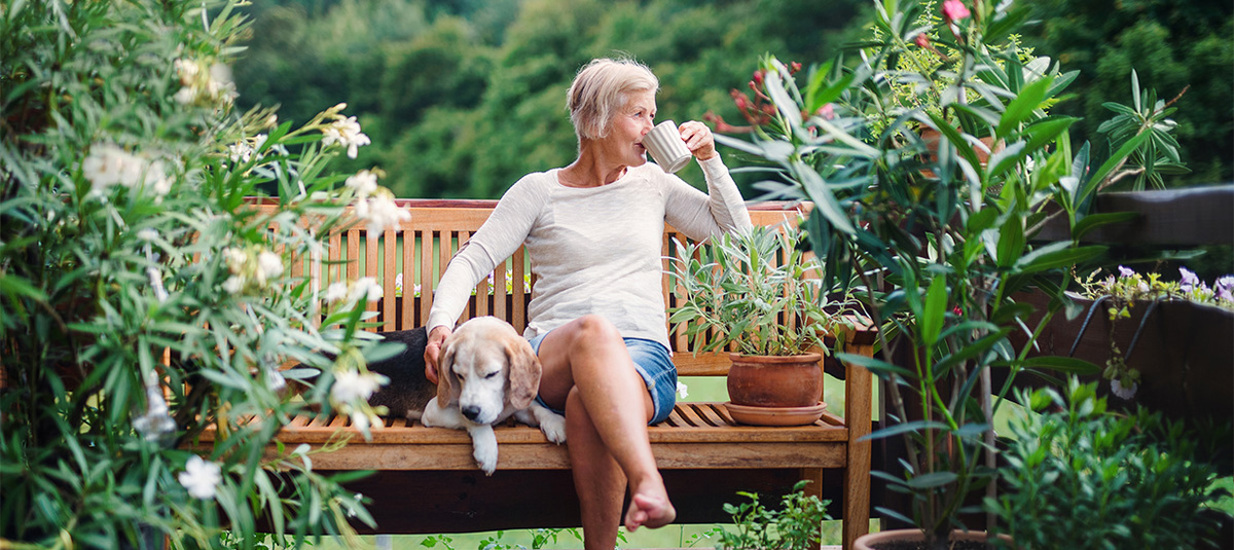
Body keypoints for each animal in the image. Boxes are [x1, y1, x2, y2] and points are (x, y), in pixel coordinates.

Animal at [419, 315, 565, 476]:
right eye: (459, 375)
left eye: (492, 374)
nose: (470, 411)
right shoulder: (432, 410)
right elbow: (468, 418)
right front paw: (487, 450)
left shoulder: (515, 407)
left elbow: (537, 408)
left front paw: (554, 421)